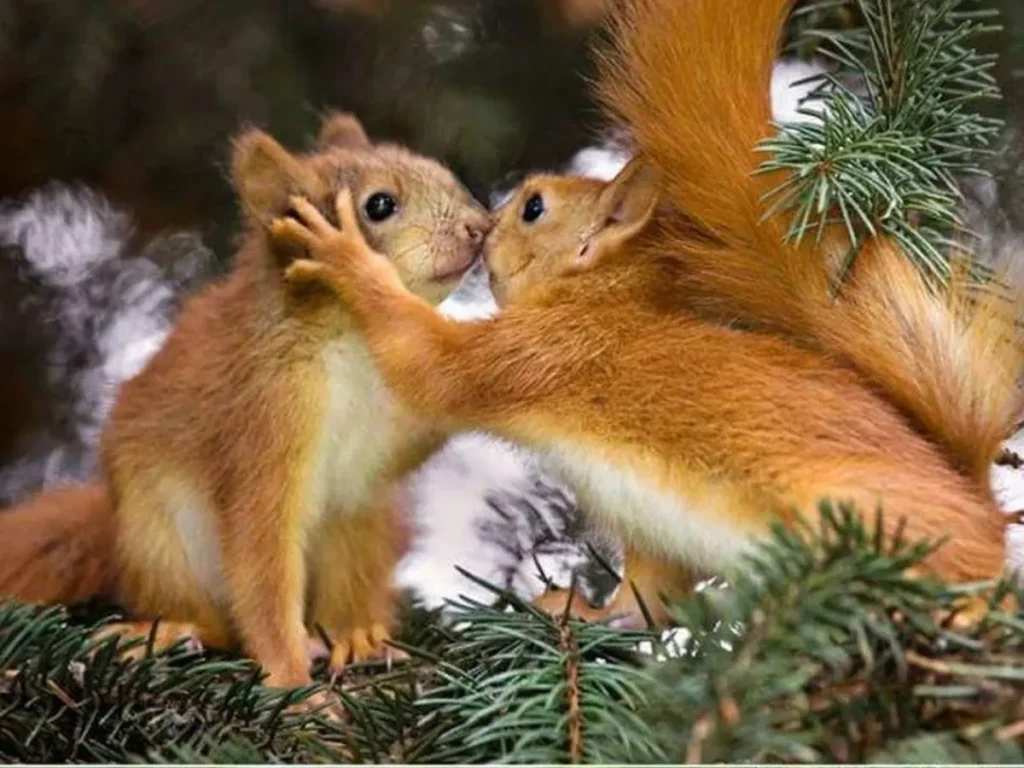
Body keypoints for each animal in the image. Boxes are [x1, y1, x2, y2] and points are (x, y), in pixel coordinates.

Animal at [0, 112, 490, 693]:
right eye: (379, 205)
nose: (482, 227)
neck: (353, 342)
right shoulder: (265, 419)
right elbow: (263, 564)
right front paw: (293, 685)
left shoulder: (377, 453)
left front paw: (351, 638)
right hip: (158, 538)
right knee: (212, 620)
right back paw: (169, 632)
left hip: (370, 520)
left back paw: (356, 635)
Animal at [266, 0, 1023, 627]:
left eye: (533, 207)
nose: (481, 226)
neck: (599, 300)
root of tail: (977, 502)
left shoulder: (539, 350)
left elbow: (431, 364)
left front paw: (345, 257)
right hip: (660, 532)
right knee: (650, 600)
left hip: (866, 517)